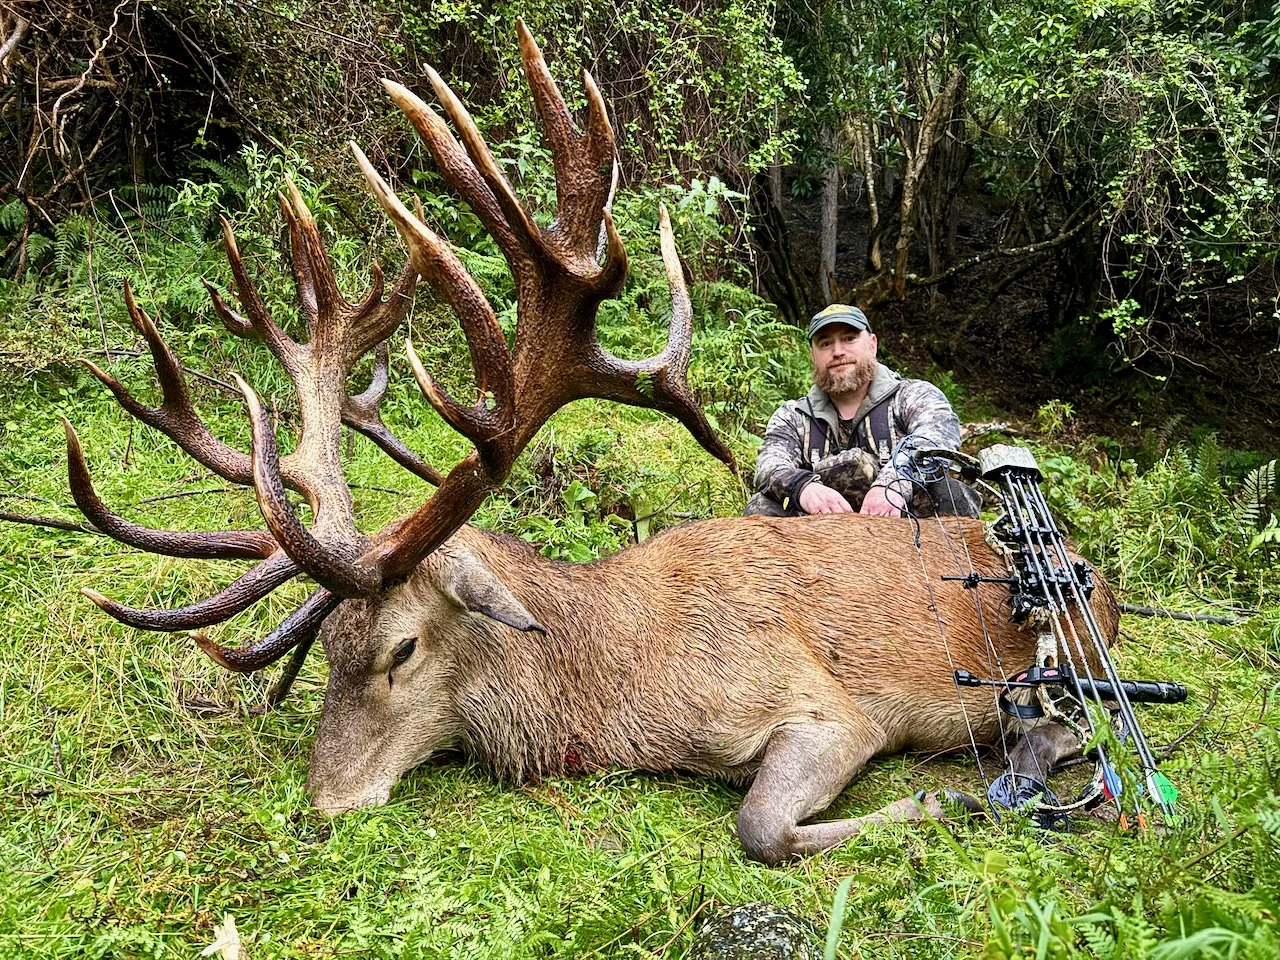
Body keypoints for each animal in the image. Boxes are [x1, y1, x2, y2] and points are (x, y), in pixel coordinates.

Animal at [58, 24, 1118, 865]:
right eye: (326, 650)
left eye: (402, 647)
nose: (325, 802)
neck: (620, 691)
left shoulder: (831, 707)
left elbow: (759, 826)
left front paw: (940, 800)